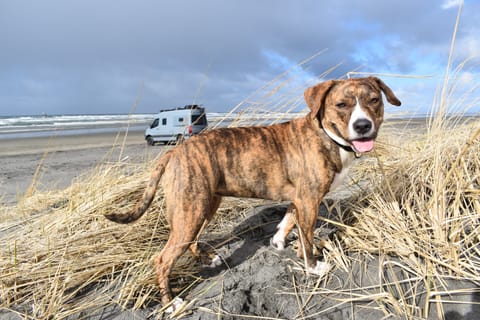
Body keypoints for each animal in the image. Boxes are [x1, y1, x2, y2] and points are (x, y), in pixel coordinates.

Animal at [105, 76, 402, 312]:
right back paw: (171, 304)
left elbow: (288, 220)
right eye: (341, 105)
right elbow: (307, 239)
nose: (363, 126)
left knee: (191, 241)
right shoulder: (309, 201)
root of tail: (173, 152)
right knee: (163, 259)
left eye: (374, 100)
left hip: (203, 206)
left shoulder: (299, 200)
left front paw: (279, 241)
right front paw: (312, 266)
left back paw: (208, 258)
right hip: (191, 209)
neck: (327, 135)